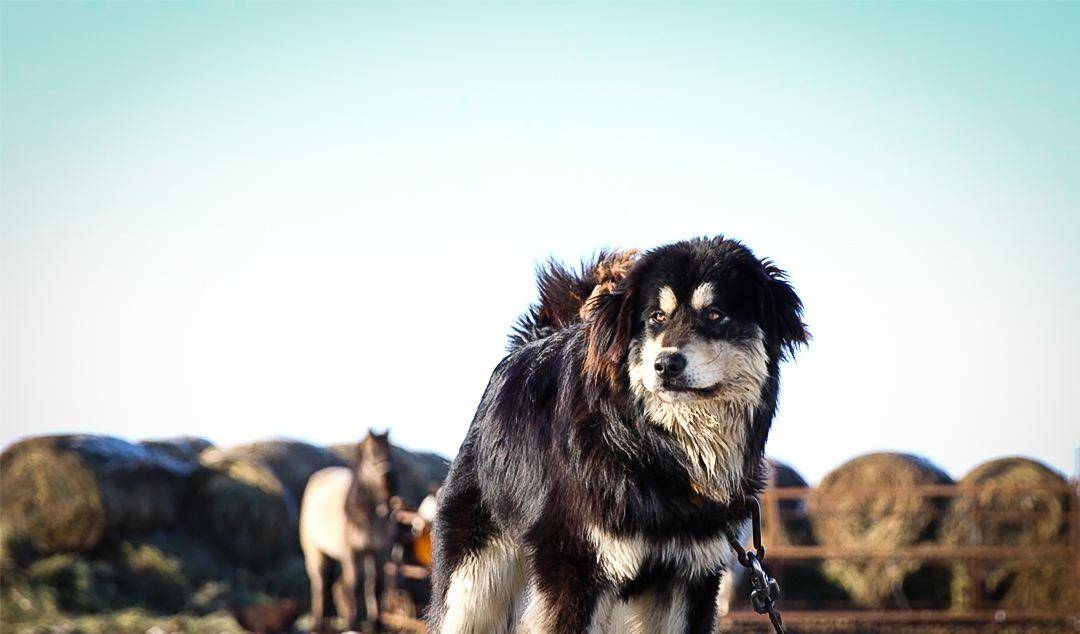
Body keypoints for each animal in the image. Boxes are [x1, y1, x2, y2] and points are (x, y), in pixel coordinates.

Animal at [300, 429, 397, 630]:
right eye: (371, 455)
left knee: (334, 584)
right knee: (320, 584)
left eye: (391, 453)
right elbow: (354, 585)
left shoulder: (379, 551)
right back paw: (318, 623)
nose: (389, 482)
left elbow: (376, 585)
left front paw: (377, 624)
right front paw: (352, 623)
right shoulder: (352, 552)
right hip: (316, 552)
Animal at [425, 237, 807, 634]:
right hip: (472, 589)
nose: (666, 364)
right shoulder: (576, 570)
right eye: (657, 317)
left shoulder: (691, 575)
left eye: (715, 315)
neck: (653, 452)